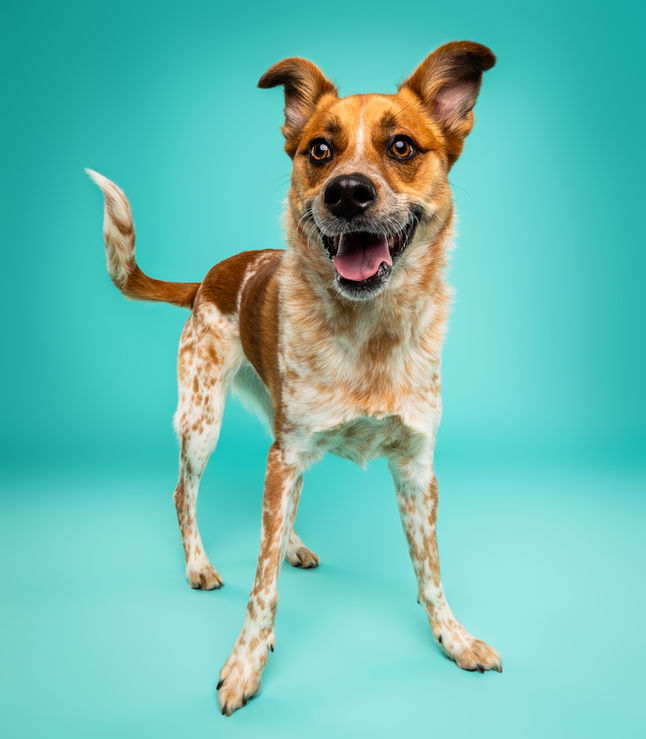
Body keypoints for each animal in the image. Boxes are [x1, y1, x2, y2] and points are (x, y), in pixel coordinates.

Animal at [88, 40, 500, 716]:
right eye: (320, 150)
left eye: (402, 147)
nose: (347, 193)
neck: (368, 331)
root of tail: (210, 276)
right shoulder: (285, 454)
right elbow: (262, 587)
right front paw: (246, 664)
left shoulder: (416, 467)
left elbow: (431, 569)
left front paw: (454, 637)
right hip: (204, 420)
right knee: (184, 495)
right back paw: (200, 564)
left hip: (276, 431)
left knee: (277, 510)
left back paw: (293, 543)